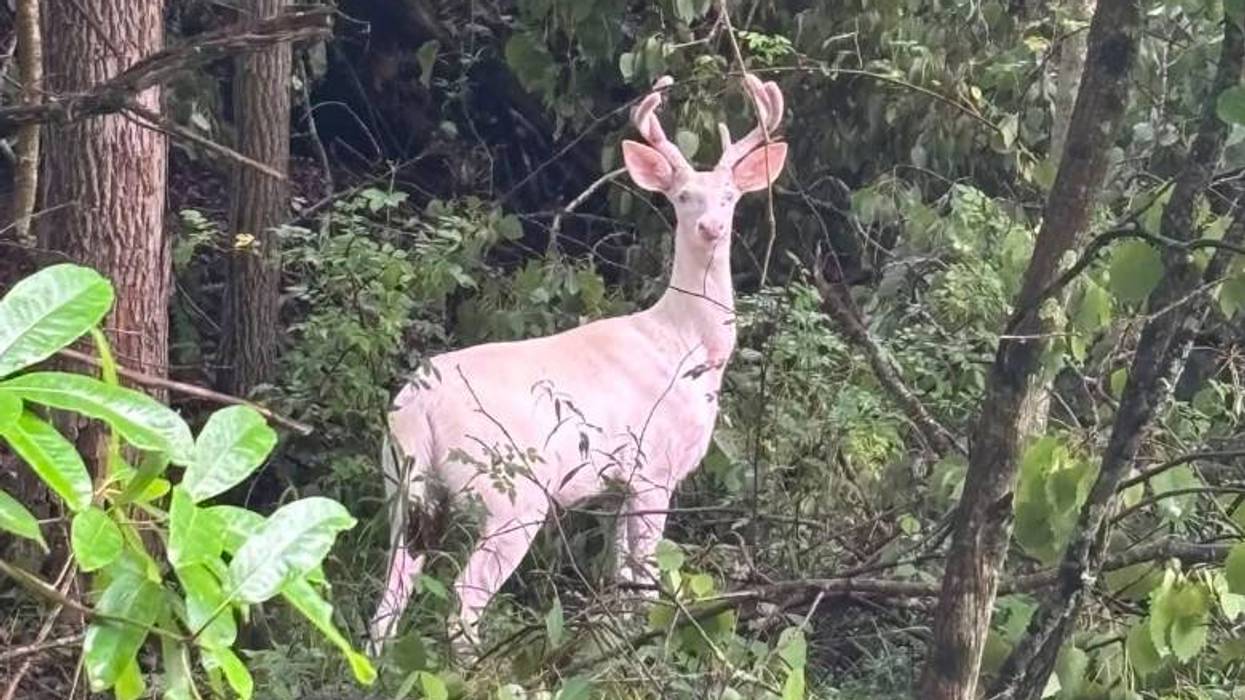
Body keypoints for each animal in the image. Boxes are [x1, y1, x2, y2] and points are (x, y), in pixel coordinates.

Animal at [367, 73, 787, 658]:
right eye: (683, 196)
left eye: (729, 196)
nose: (710, 227)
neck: (687, 347)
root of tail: (417, 403)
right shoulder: (654, 467)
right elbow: (645, 575)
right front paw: (645, 648)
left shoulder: (617, 484)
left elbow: (620, 577)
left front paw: (617, 643)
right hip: (509, 486)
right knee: (463, 597)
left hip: (403, 485)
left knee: (389, 597)